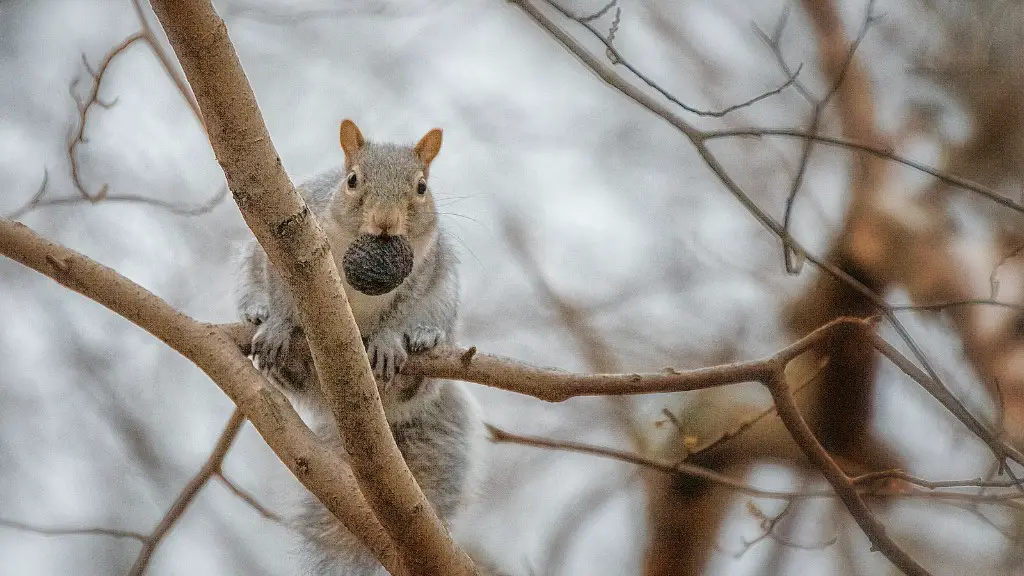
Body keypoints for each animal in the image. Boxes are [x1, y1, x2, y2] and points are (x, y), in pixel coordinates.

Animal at [234, 118, 487, 569]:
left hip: (444, 301)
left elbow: (400, 312)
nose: (385, 221)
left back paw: (423, 345)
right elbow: (280, 292)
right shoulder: (280, 252)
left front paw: (389, 341)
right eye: (352, 180)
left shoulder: (424, 271)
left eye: (422, 187)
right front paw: (277, 323)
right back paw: (270, 338)